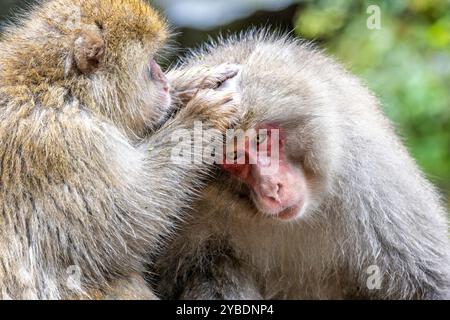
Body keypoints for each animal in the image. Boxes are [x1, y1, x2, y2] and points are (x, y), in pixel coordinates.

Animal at [0, 0, 241, 300]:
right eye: (149, 66)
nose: (164, 82)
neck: (61, 87)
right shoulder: (64, 144)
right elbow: (126, 224)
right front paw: (199, 119)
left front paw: (190, 83)